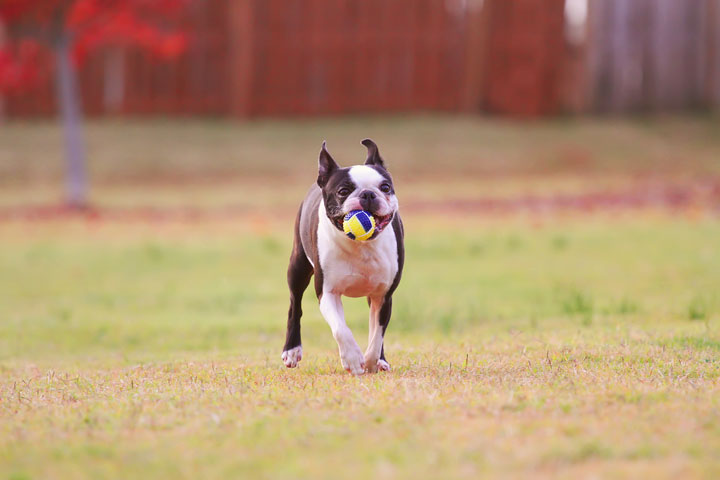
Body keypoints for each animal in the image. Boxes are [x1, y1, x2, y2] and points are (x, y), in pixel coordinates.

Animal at [282, 139, 404, 376]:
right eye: (343, 191)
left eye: (385, 187)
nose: (368, 194)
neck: (362, 247)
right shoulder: (327, 292)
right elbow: (341, 329)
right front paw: (354, 360)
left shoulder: (384, 295)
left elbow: (377, 335)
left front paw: (372, 362)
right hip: (297, 267)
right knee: (295, 306)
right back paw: (291, 351)